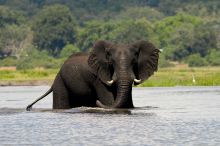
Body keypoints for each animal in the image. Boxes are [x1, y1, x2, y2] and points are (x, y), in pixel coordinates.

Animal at [26, 39, 159, 109]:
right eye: (111, 62)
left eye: (134, 62)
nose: (96, 102)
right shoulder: (98, 78)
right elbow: (109, 101)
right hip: (60, 81)